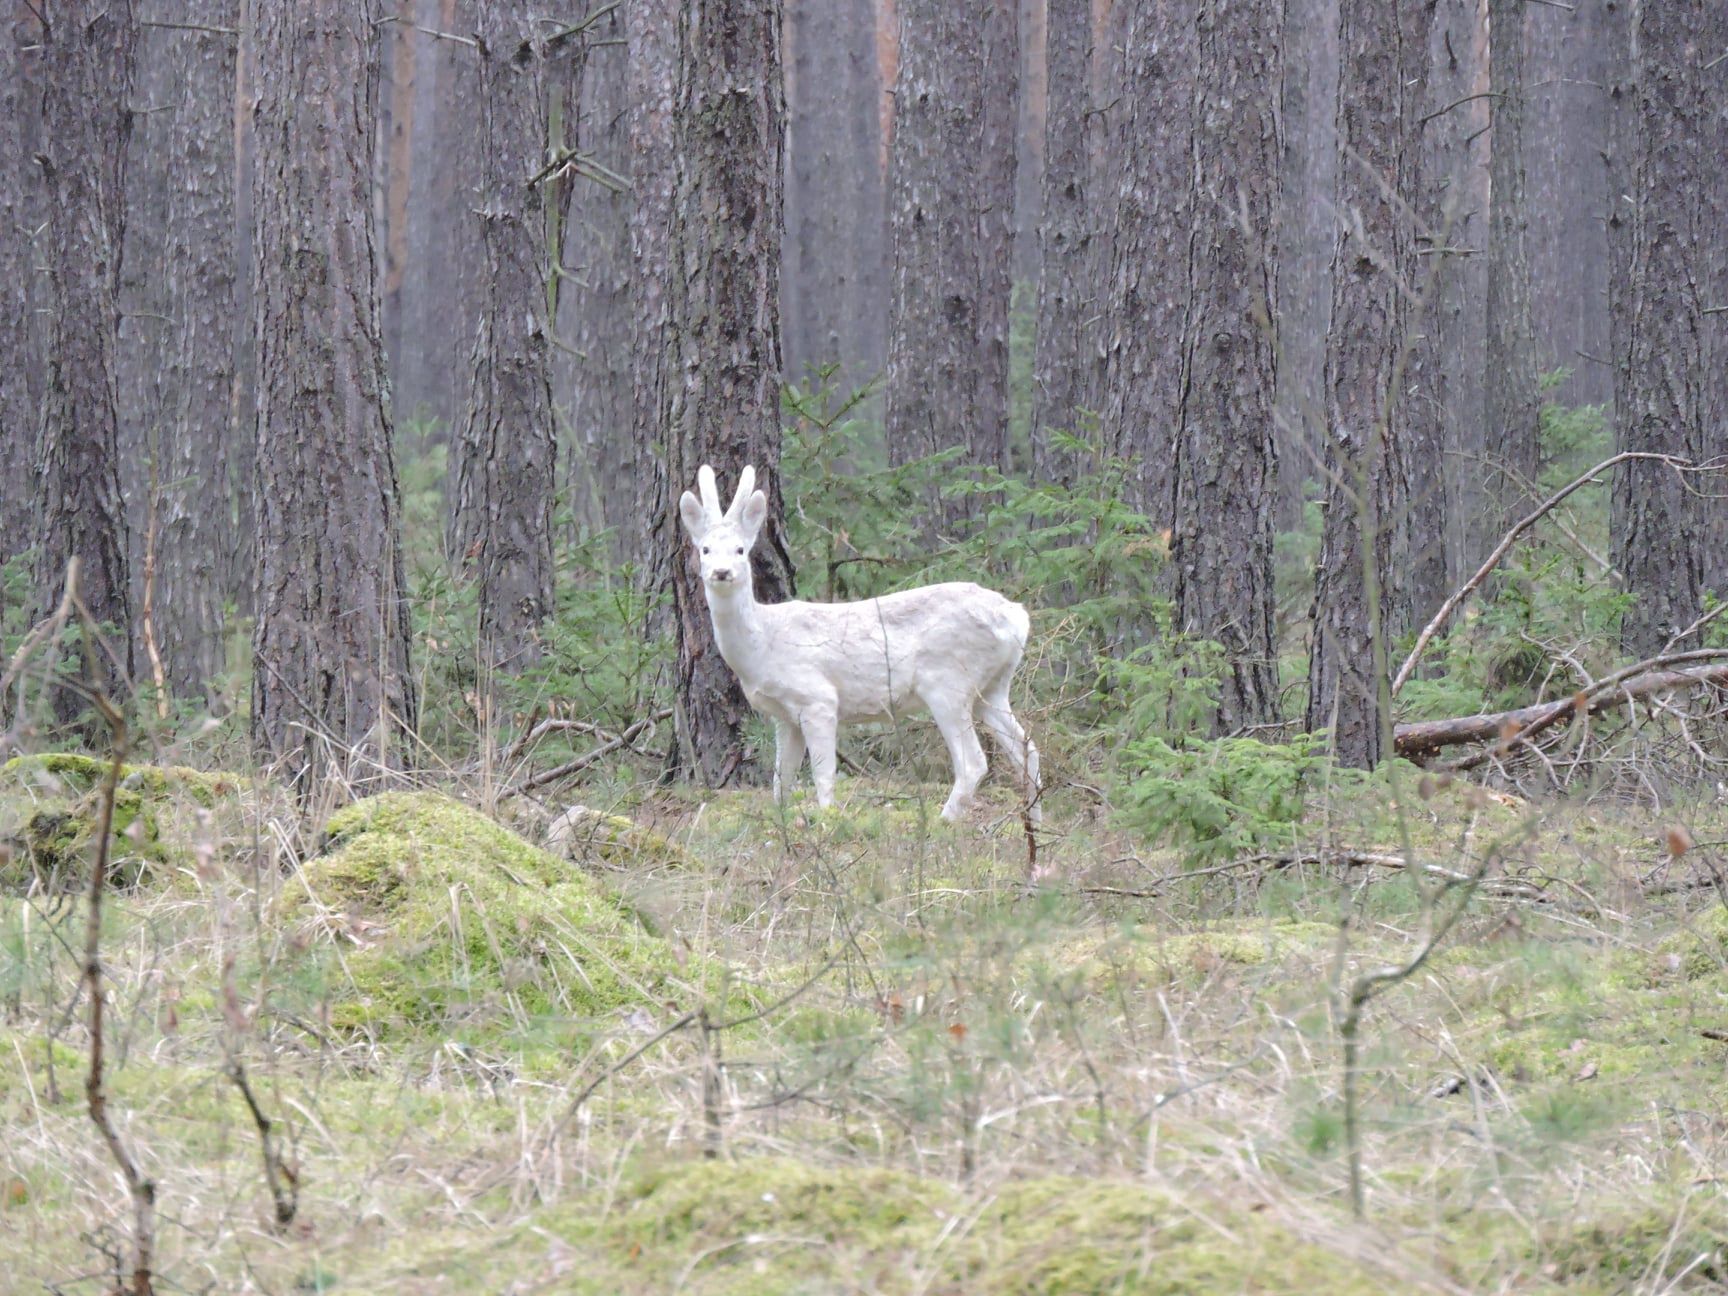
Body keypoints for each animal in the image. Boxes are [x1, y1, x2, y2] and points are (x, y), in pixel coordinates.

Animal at [680, 466, 1036, 825]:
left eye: (740, 549)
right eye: (705, 549)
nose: (721, 572)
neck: (762, 646)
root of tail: (1017, 617)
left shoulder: (818, 699)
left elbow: (823, 777)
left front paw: (827, 822)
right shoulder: (785, 718)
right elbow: (781, 783)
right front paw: (782, 824)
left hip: (948, 682)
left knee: (973, 763)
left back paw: (942, 823)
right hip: (991, 688)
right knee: (1027, 747)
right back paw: (1035, 823)